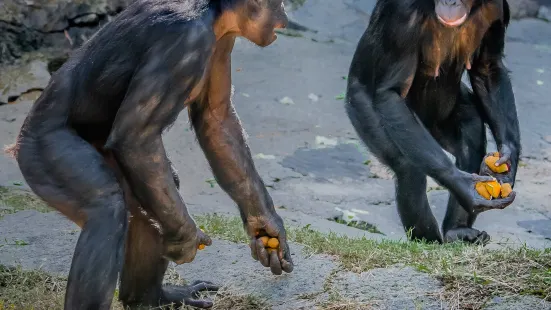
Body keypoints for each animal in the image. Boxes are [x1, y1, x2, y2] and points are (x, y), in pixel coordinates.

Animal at [7, 0, 294, 308]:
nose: (284, 17)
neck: (212, 15)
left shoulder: (222, 44)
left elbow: (216, 122)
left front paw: (266, 227)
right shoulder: (183, 42)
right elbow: (137, 134)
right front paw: (186, 238)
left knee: (154, 197)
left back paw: (150, 298)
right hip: (43, 151)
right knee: (107, 209)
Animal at [344, 0, 520, 245]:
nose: (450, 2)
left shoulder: (497, 9)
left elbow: (488, 68)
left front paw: (509, 157)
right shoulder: (402, 16)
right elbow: (390, 92)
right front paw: (463, 185)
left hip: (443, 120)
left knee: (471, 141)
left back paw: (457, 230)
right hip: (363, 108)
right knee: (407, 167)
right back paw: (427, 241)